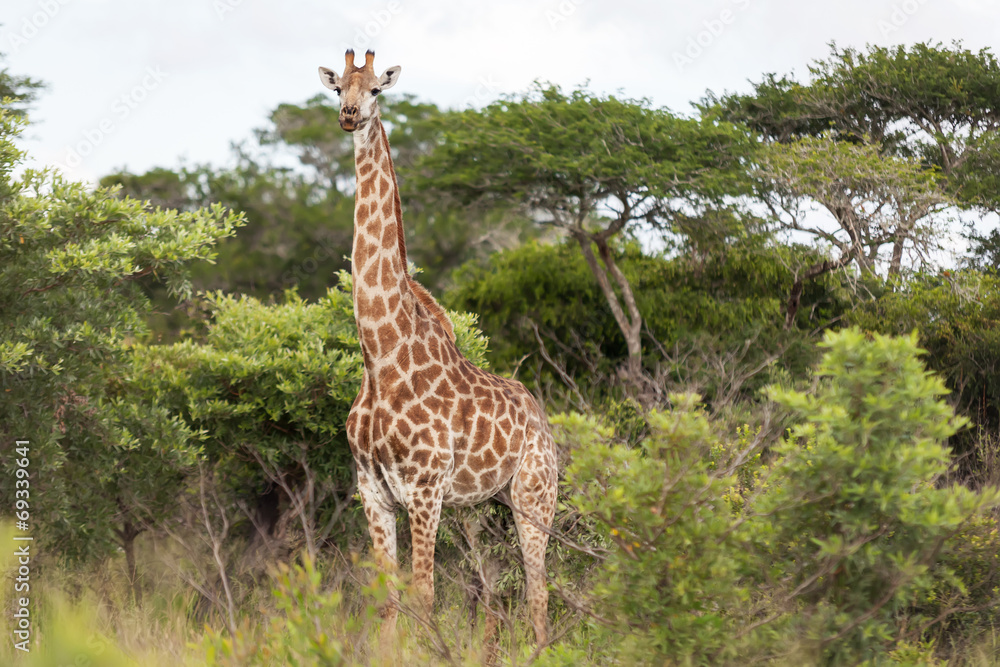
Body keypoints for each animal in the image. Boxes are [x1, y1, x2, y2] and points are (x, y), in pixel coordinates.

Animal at [318, 50, 559, 650]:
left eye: (377, 89)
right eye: (337, 89)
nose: (350, 116)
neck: (380, 356)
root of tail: (543, 420)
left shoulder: (424, 490)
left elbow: (424, 598)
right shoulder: (374, 491)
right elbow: (388, 601)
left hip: (534, 497)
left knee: (538, 591)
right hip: (480, 506)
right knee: (493, 586)